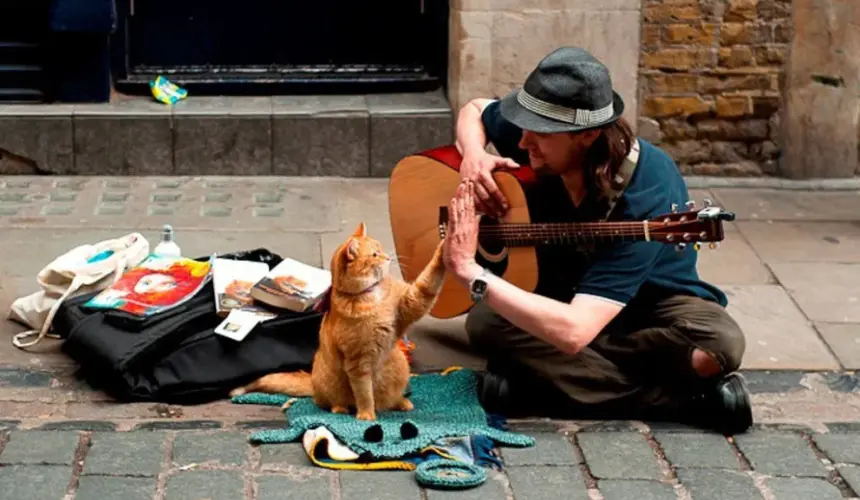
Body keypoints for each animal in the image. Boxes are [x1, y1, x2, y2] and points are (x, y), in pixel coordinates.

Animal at [230, 221, 444, 420]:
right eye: (375, 254)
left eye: (381, 249)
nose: (388, 257)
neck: (371, 295)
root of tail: (312, 381)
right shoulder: (357, 363)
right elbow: (364, 394)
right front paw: (366, 415)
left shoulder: (412, 302)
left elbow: (428, 281)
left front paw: (444, 247)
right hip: (332, 383)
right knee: (333, 401)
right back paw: (340, 409)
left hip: (399, 365)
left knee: (388, 399)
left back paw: (401, 402)